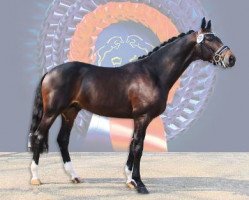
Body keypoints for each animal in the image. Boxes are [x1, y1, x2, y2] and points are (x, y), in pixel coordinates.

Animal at [28, 18, 235, 193]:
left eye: (217, 37)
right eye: (209, 39)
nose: (231, 58)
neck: (153, 73)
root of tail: (49, 73)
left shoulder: (138, 119)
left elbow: (132, 144)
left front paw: (130, 181)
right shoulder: (142, 118)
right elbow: (138, 147)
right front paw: (140, 184)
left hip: (70, 112)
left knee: (63, 140)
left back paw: (74, 176)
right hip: (51, 112)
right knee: (38, 136)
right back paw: (35, 178)